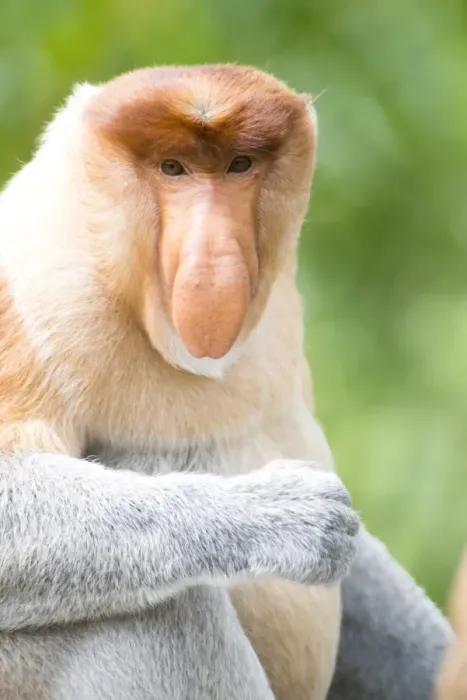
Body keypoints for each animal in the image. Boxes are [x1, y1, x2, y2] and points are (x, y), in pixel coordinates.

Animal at [0, 64, 359, 699]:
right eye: (173, 168)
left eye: (240, 164)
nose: (212, 262)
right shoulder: (41, 291)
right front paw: (285, 514)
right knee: (163, 609)